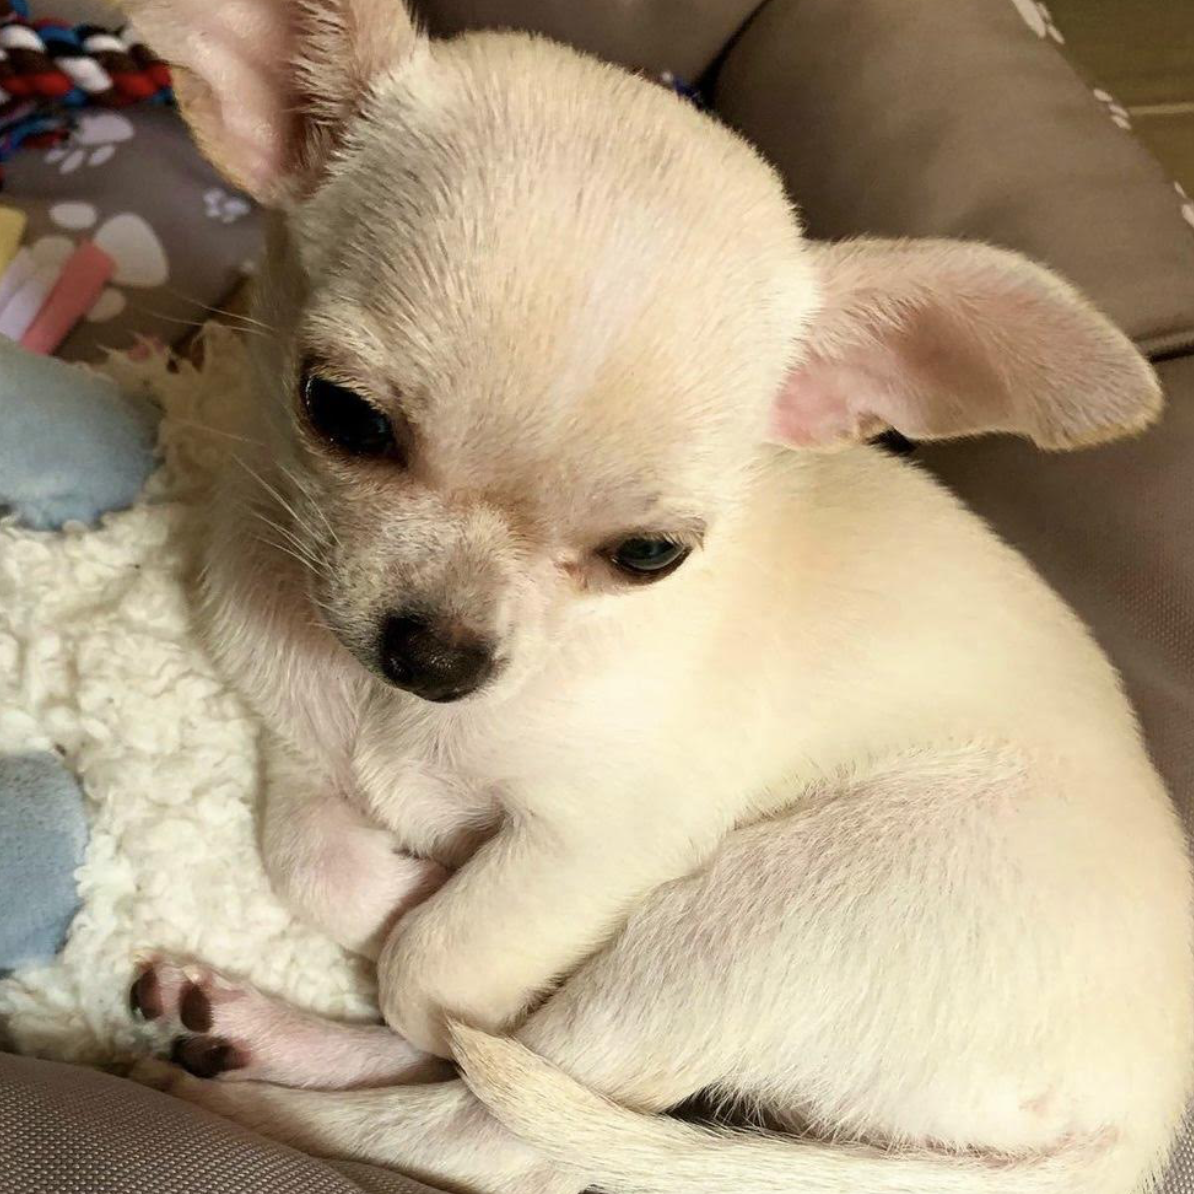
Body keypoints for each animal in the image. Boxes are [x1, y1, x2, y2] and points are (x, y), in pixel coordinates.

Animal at [117, 2, 1193, 1192]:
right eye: (341, 414)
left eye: (649, 556)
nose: (437, 657)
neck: (391, 718)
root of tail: (1136, 1134)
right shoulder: (297, 738)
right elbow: (316, 864)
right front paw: (400, 873)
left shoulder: (599, 841)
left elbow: (428, 966)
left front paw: (432, 918)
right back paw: (242, 1026)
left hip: (758, 921)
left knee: (503, 1130)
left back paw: (262, 1091)